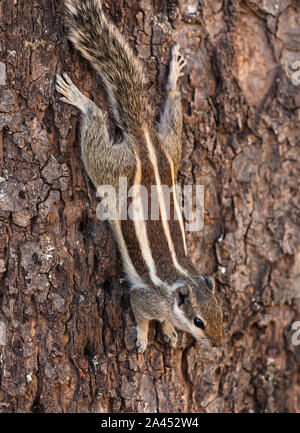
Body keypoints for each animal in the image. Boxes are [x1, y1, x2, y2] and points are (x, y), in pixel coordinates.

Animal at [55, 0, 223, 352]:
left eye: (221, 312)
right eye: (199, 321)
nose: (217, 343)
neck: (179, 283)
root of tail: (145, 139)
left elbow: (165, 323)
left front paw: (169, 332)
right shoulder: (145, 298)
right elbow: (142, 315)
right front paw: (145, 337)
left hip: (172, 146)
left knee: (173, 114)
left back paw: (173, 78)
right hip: (107, 166)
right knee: (96, 120)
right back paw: (80, 100)